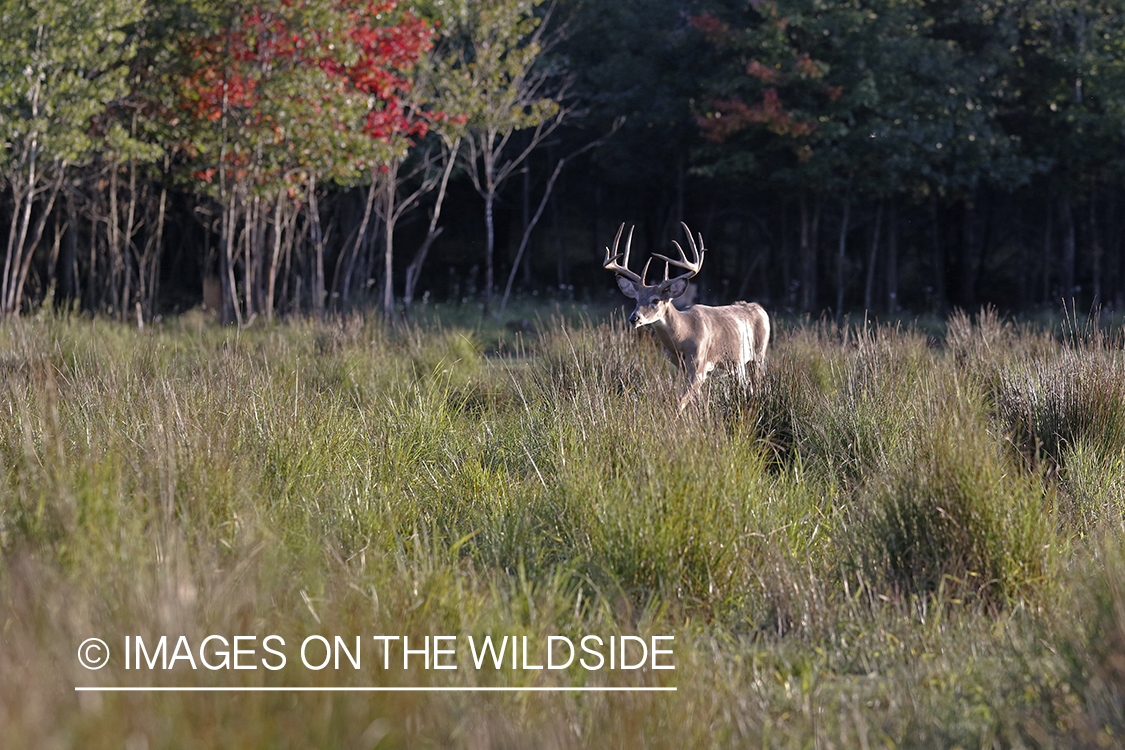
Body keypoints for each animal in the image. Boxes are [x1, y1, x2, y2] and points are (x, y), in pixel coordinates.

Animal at [603, 220, 769, 413]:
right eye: (636, 299)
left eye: (655, 300)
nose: (634, 318)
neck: (683, 336)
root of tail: (760, 309)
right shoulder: (680, 367)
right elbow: (697, 402)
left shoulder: (699, 365)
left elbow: (680, 403)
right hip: (739, 365)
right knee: (747, 386)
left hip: (759, 354)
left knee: (757, 384)